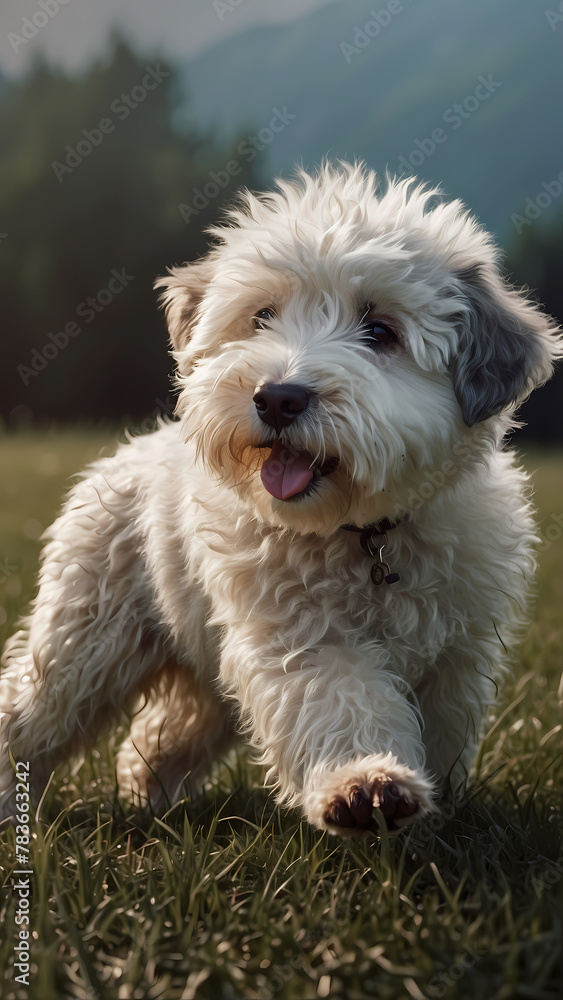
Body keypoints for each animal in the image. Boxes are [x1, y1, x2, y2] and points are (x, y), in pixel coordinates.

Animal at [2, 162, 560, 836]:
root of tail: (132, 449)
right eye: (262, 315)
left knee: (167, 730)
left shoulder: (458, 652)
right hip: (85, 641)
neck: (365, 536)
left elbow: (444, 728)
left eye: (381, 331)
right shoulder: (304, 638)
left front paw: (432, 810)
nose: (277, 397)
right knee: (27, 712)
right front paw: (366, 784)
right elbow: (341, 702)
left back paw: (150, 794)